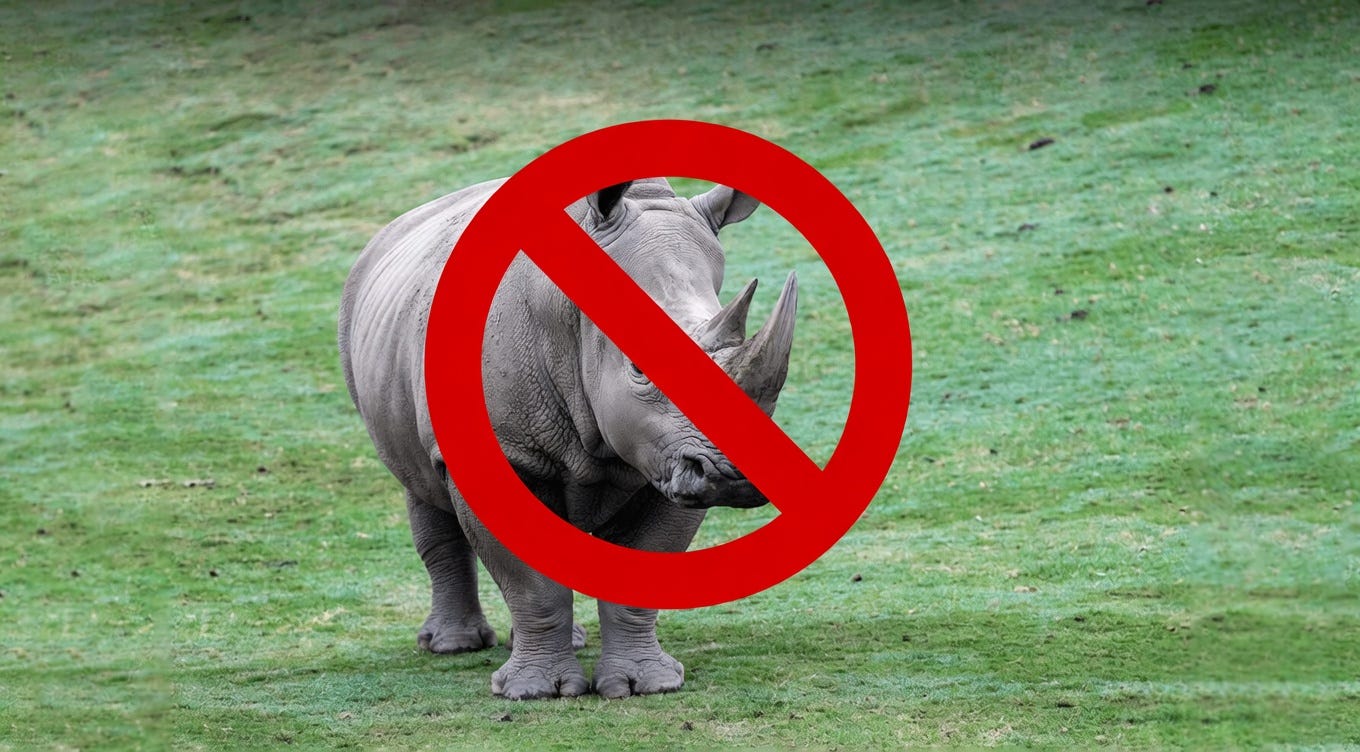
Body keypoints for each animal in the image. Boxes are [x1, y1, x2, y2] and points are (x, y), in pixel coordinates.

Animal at [338, 177, 797, 699]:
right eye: (640, 366)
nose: (732, 475)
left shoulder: (663, 459)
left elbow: (643, 565)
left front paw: (648, 685)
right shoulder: (510, 452)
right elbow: (530, 582)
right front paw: (535, 693)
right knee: (418, 481)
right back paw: (452, 646)